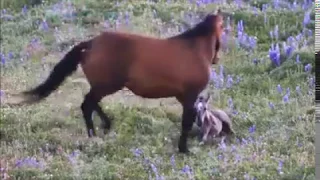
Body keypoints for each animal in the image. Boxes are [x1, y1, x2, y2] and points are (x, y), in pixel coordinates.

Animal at [10, 9, 225, 153]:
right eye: (223, 28)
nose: (217, 58)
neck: (194, 49)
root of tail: (91, 44)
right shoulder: (190, 96)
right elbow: (186, 123)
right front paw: (184, 149)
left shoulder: (185, 98)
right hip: (107, 85)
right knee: (87, 104)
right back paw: (93, 134)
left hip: (103, 85)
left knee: (91, 103)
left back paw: (106, 126)